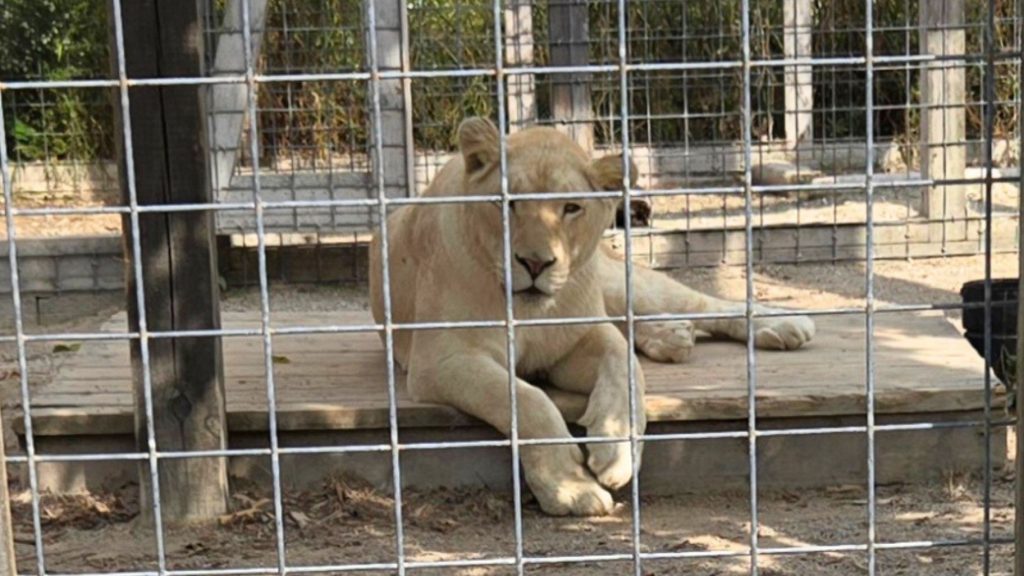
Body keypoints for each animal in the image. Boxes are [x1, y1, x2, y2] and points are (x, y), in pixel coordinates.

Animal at [370, 117, 815, 516]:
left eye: (571, 208)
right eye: (508, 203)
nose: (535, 263)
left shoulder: (578, 335)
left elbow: (624, 362)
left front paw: (615, 450)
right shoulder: (442, 359)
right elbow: (526, 399)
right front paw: (570, 487)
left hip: (618, 282)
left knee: (697, 304)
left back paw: (781, 324)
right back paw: (672, 336)